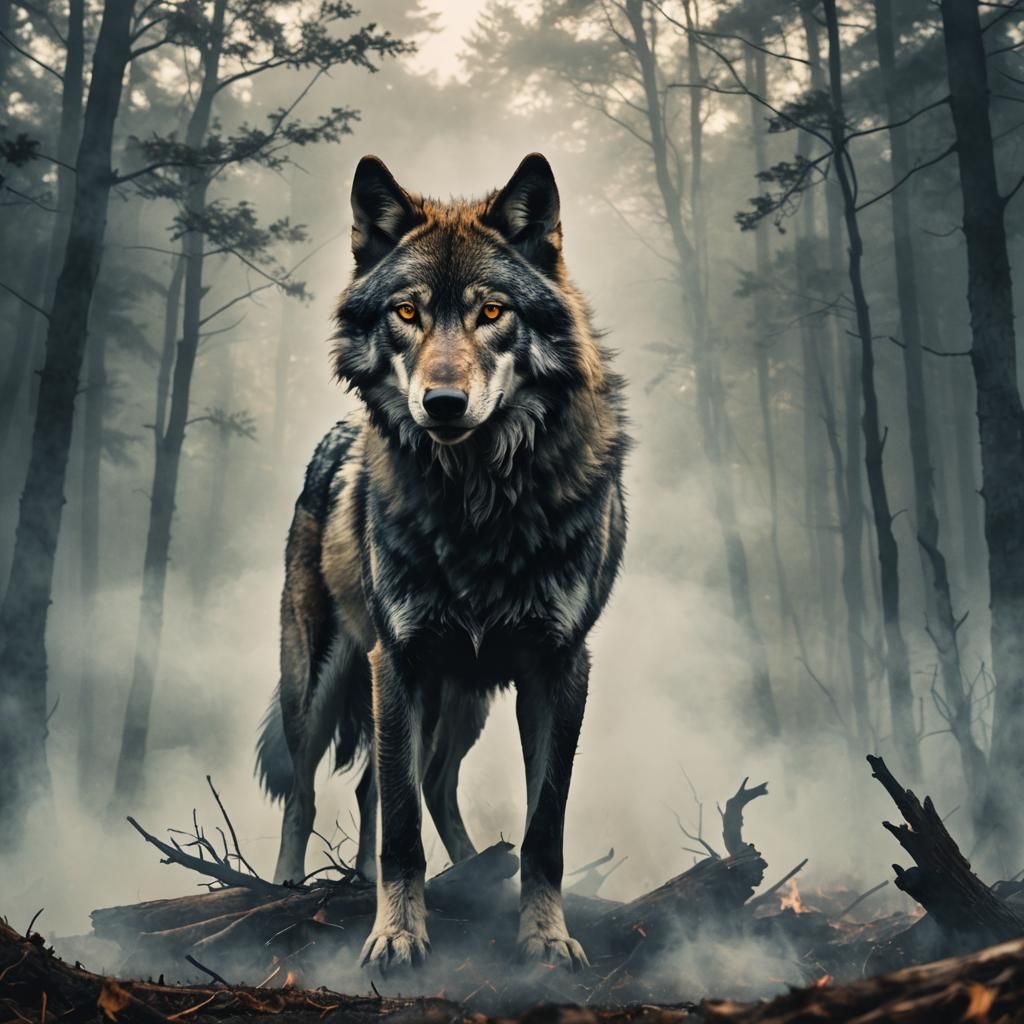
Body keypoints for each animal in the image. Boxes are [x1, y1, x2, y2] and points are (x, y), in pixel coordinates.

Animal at [256, 153, 628, 971]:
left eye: (492, 312)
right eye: (406, 313)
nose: (444, 403)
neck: (479, 508)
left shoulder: (560, 667)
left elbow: (543, 829)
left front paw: (544, 938)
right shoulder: (399, 660)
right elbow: (399, 829)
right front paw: (396, 934)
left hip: (462, 702)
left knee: (416, 785)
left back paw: (464, 874)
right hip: (328, 681)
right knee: (316, 791)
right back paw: (288, 889)